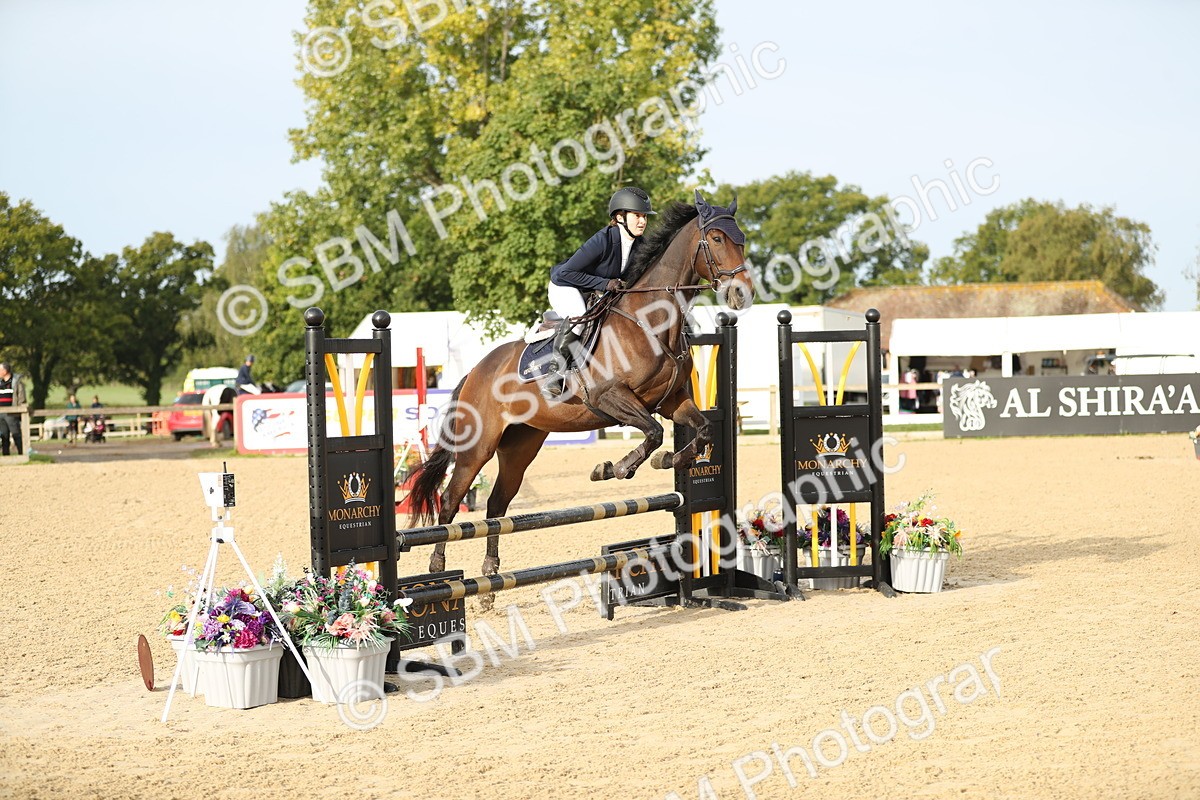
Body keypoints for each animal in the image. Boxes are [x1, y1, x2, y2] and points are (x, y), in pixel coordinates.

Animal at [406, 191, 754, 600]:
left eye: (741, 238)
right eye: (716, 239)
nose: (742, 293)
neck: (650, 322)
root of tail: (476, 370)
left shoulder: (672, 401)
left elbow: (700, 431)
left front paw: (668, 460)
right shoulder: (610, 399)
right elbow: (653, 433)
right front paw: (614, 468)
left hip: (521, 445)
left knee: (496, 504)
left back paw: (489, 578)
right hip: (478, 446)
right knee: (449, 502)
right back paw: (439, 570)